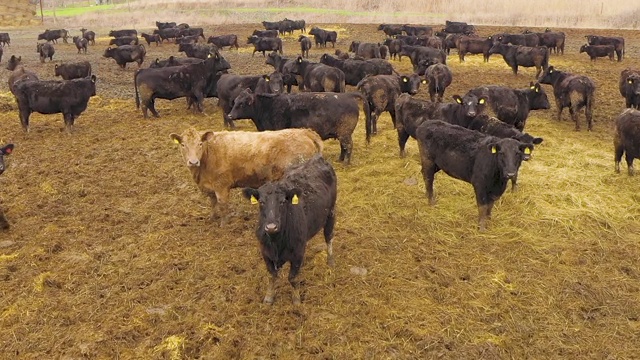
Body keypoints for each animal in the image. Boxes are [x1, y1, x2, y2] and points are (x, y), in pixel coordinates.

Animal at [169, 128, 322, 221]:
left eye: (200, 143)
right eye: (183, 145)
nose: (193, 162)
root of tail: (305, 132)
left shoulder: (221, 185)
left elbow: (222, 204)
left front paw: (224, 224)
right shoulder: (210, 187)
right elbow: (213, 203)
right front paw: (212, 218)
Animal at [228, 89, 368, 164]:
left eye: (241, 104)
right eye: (235, 102)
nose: (229, 115)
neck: (269, 106)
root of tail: (347, 95)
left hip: (345, 134)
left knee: (348, 146)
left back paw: (346, 162)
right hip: (341, 134)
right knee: (343, 146)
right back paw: (340, 159)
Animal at [242, 156, 338, 306]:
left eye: (282, 201)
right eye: (261, 202)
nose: (271, 227)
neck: (276, 242)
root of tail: (317, 158)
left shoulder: (298, 254)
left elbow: (292, 278)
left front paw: (296, 300)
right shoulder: (265, 252)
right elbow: (272, 275)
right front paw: (269, 297)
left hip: (331, 213)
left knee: (329, 237)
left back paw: (331, 261)